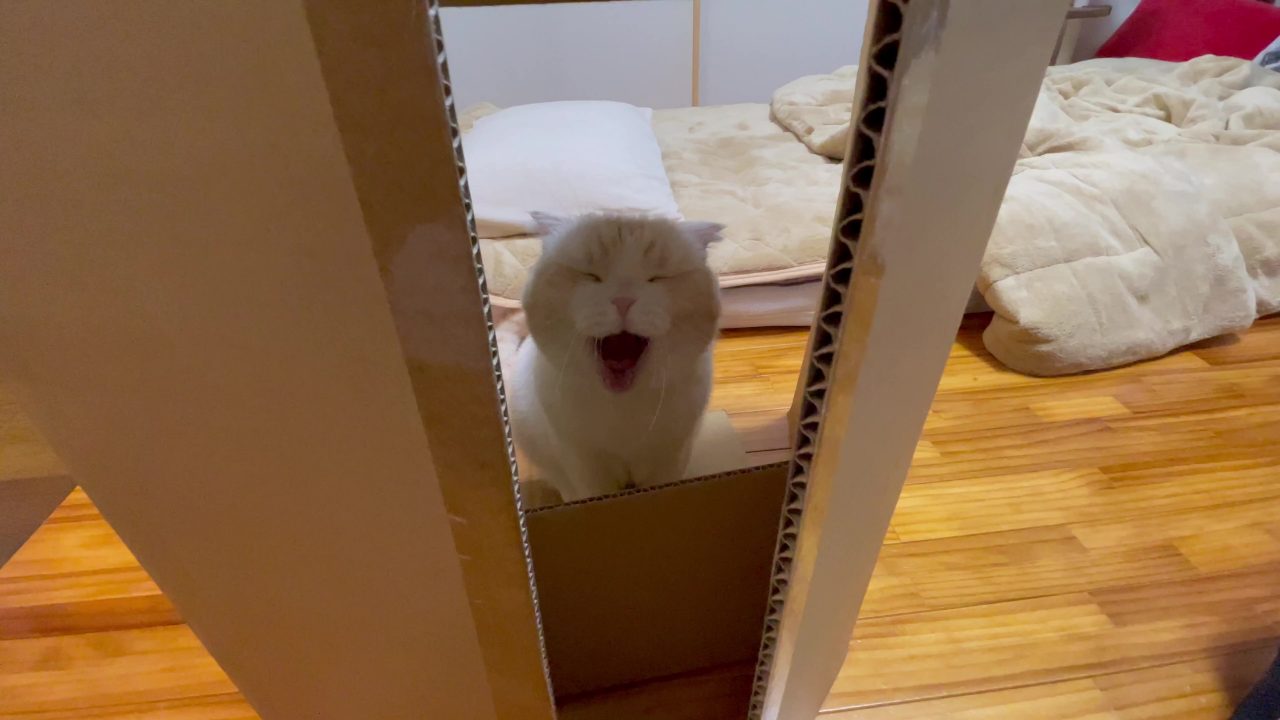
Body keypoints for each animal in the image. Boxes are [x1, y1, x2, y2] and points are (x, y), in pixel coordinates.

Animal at [503, 212, 723, 502]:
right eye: (591, 275)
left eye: (657, 278)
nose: (623, 300)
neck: (623, 408)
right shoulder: (584, 463)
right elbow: (591, 493)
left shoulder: (670, 459)